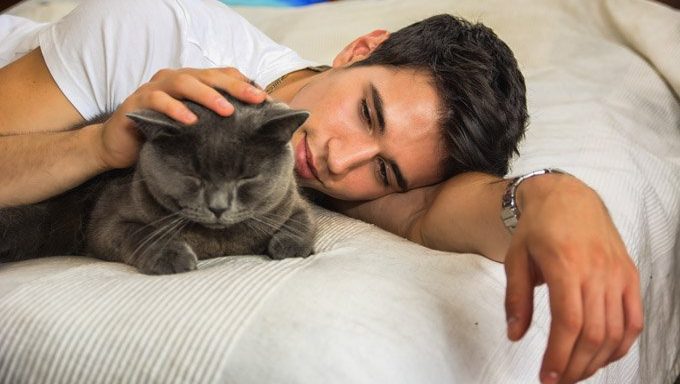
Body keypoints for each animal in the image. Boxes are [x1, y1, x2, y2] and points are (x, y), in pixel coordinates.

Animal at [0, 91, 318, 274]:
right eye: (192, 176)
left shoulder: (292, 200)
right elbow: (139, 233)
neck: (218, 244)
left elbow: (304, 222)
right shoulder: (104, 224)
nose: (217, 207)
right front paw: (171, 256)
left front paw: (288, 246)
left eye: (247, 177)